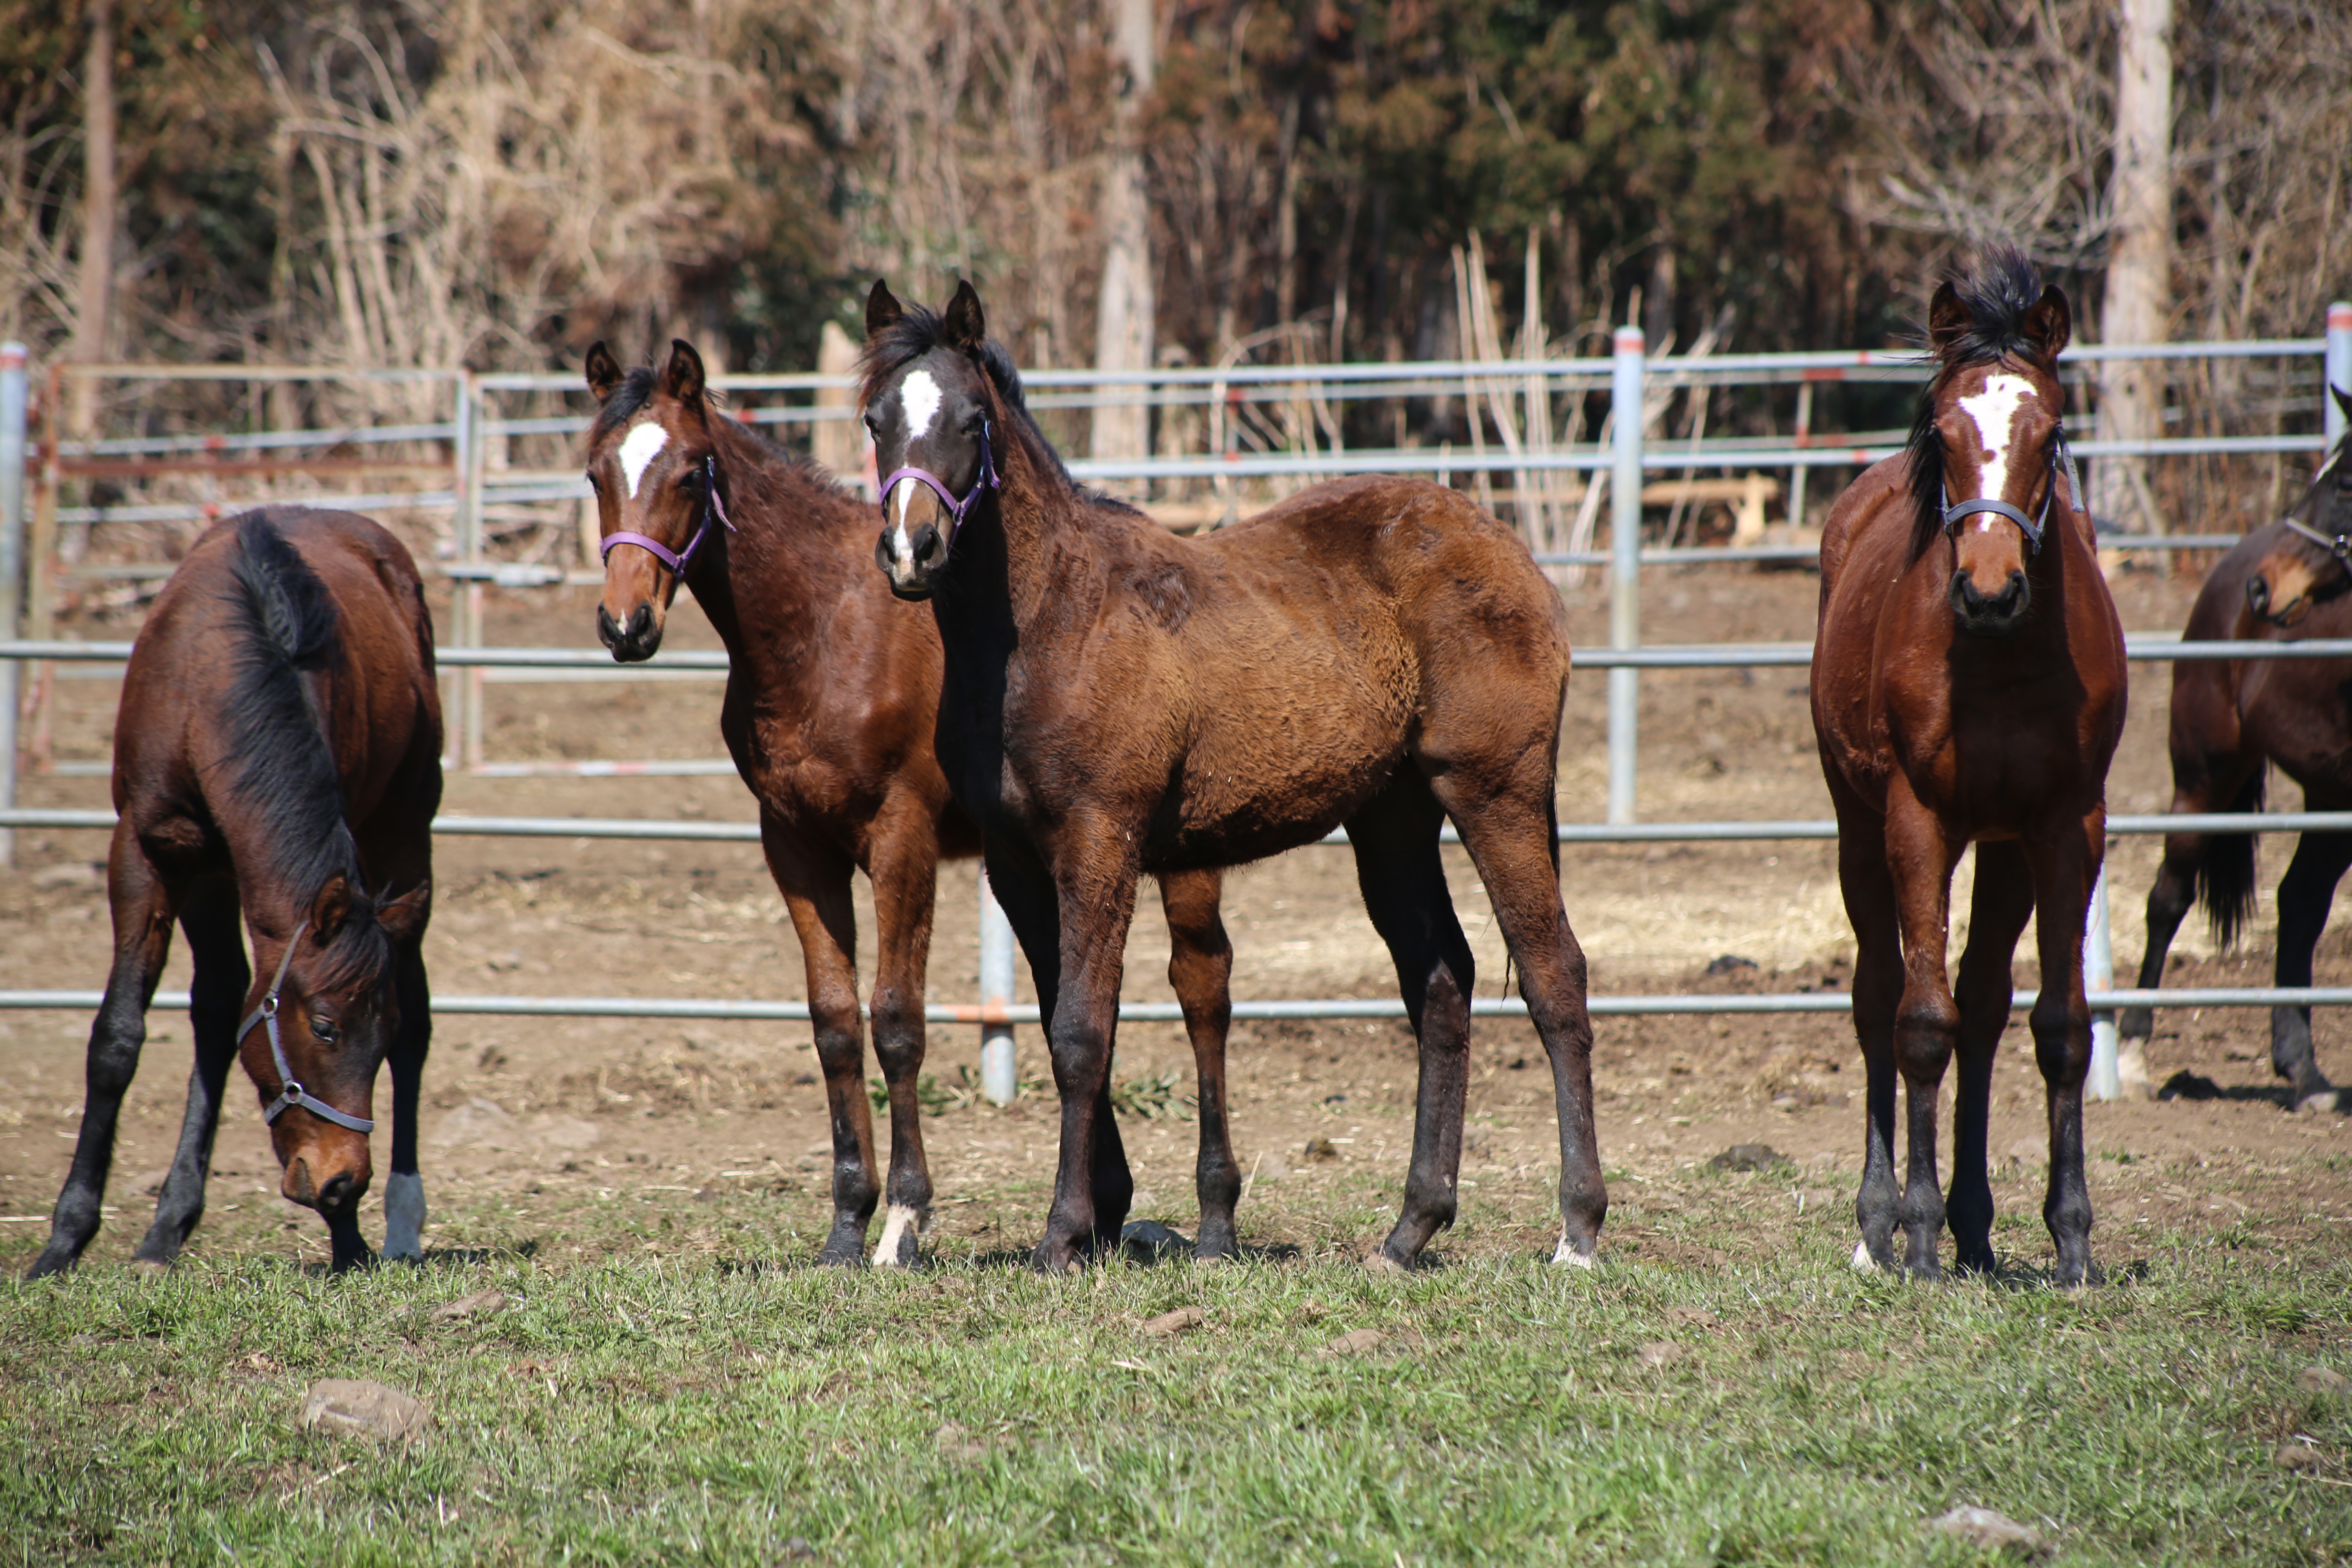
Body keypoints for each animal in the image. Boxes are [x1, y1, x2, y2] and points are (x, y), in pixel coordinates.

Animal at [25, 510, 437, 1278]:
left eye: (369, 1032)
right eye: (326, 1027)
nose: (343, 1179)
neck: (215, 679)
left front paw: (348, 1237)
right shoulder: (149, 854)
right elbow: (121, 1037)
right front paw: (67, 1241)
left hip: (403, 832)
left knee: (420, 1028)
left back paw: (402, 1221)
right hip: (215, 877)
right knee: (216, 1011)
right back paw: (169, 1229)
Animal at [581, 341, 1242, 1260]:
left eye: (687, 473)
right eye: (596, 473)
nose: (626, 625)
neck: (825, 631)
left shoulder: (903, 838)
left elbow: (896, 1021)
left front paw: (903, 1219)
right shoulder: (794, 846)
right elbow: (834, 1023)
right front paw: (845, 1224)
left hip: (1182, 859)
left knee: (1201, 989)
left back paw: (1213, 1215)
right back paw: (1104, 1211)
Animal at [865, 282, 1618, 1278]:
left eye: (970, 420)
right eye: (876, 420)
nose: (913, 550)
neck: (1053, 622)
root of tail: (1509, 551)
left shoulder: (1101, 843)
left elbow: (1081, 1033)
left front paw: (1063, 1238)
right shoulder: (1018, 864)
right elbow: (1066, 1019)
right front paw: (1095, 1221)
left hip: (1498, 793)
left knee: (1552, 974)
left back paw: (1577, 1230)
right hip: (1393, 821)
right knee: (1441, 983)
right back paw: (1409, 1231)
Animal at [1806, 252, 2126, 1288]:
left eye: (2050, 431)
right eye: (1943, 432)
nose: (1987, 591)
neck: (1998, 661)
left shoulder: (2065, 824)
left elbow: (2060, 1027)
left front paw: (2071, 1239)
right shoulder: (1918, 820)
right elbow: (1919, 1022)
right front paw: (1912, 1235)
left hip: (2004, 850)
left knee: (1985, 1005)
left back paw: (1977, 1226)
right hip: (1858, 831)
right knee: (1879, 999)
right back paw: (1881, 1225)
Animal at [2117, 385, 2352, 1109]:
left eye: (2347, 483)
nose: (2264, 587)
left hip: (2328, 792)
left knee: (2299, 903)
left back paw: (2305, 1072)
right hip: (2205, 776)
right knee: (2170, 896)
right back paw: (2131, 1051)